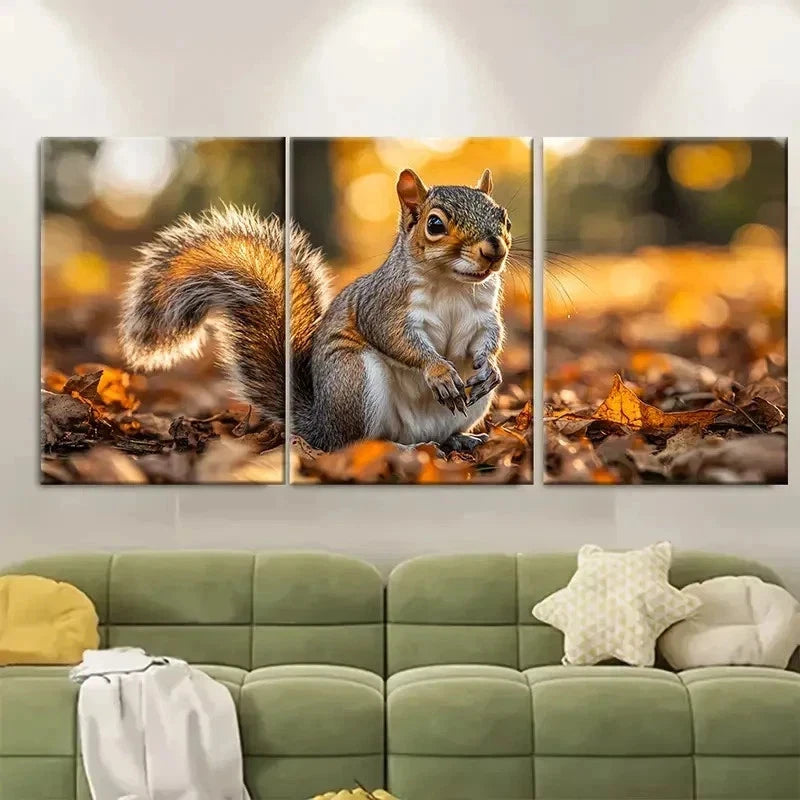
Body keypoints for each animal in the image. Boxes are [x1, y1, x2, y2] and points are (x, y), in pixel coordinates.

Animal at [120, 167, 512, 453]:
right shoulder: (383, 306)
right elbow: (396, 338)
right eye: (435, 224)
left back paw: (459, 439)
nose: (495, 249)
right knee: (353, 444)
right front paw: (438, 371)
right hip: (354, 380)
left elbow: (488, 338)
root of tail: (320, 425)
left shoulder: (483, 315)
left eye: (504, 217)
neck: (453, 285)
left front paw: (490, 367)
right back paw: (400, 450)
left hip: (470, 405)